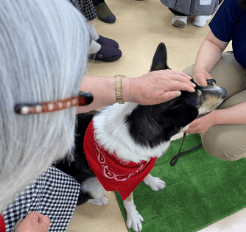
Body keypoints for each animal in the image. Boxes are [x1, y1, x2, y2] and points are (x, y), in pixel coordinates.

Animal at [54, 42, 227, 231]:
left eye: (195, 83)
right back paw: (99, 200)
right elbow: (129, 200)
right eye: (199, 99)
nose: (224, 90)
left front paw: (152, 182)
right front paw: (133, 217)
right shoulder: (123, 180)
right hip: (92, 186)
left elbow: (145, 173)